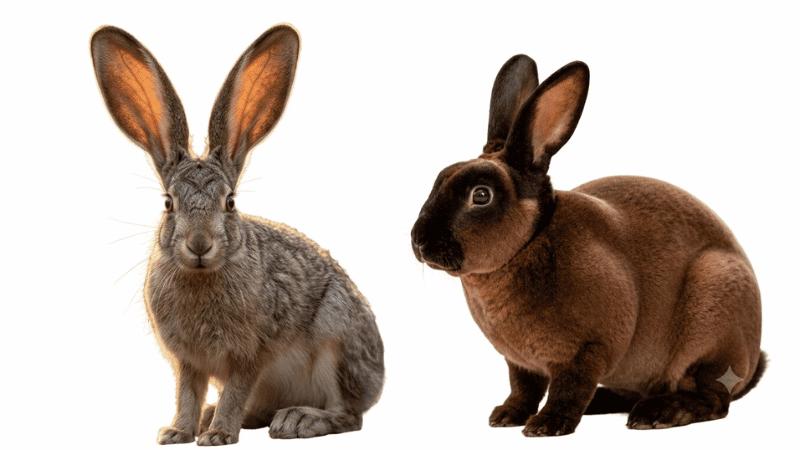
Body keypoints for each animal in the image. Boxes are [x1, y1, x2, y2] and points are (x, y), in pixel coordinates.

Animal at [91, 25, 384, 445]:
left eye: (230, 202)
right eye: (168, 203)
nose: (199, 245)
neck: (202, 276)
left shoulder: (249, 355)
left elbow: (235, 391)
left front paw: (216, 436)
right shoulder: (188, 362)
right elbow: (187, 394)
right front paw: (177, 432)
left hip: (337, 344)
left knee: (348, 415)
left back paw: (298, 420)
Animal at [411, 55, 765, 436]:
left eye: (481, 195)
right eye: (439, 179)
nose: (418, 241)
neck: (528, 243)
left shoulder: (588, 350)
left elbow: (569, 388)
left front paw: (547, 425)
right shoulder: (520, 363)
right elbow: (523, 387)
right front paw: (506, 416)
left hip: (712, 312)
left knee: (712, 398)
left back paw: (656, 414)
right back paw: (604, 403)